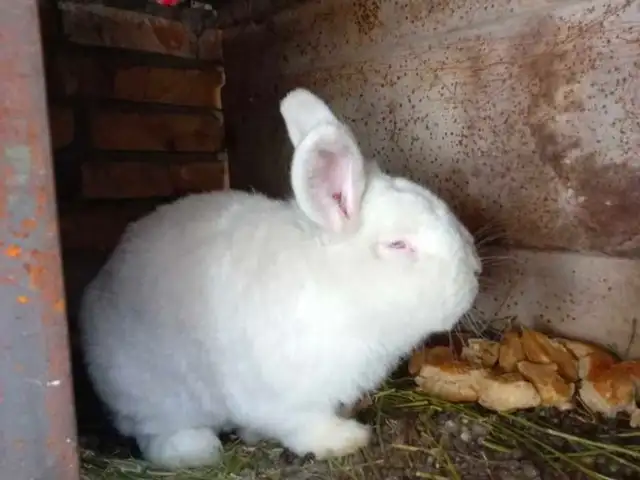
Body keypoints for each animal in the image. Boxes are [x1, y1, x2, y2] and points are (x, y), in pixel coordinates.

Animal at [78, 87, 481, 469]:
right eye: (398, 245)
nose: (476, 270)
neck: (340, 290)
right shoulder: (285, 401)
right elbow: (305, 426)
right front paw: (346, 439)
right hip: (152, 394)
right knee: (157, 433)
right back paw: (195, 451)